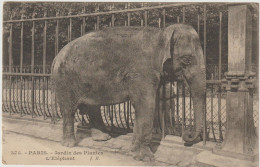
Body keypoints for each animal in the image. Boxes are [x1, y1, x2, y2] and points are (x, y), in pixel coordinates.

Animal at [50, 23, 205, 162]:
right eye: (187, 59)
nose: (187, 136)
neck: (161, 34)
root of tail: (56, 56)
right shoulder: (141, 72)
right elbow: (146, 104)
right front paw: (146, 158)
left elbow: (146, 106)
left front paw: (133, 151)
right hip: (64, 80)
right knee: (68, 110)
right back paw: (70, 144)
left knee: (94, 108)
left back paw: (103, 138)